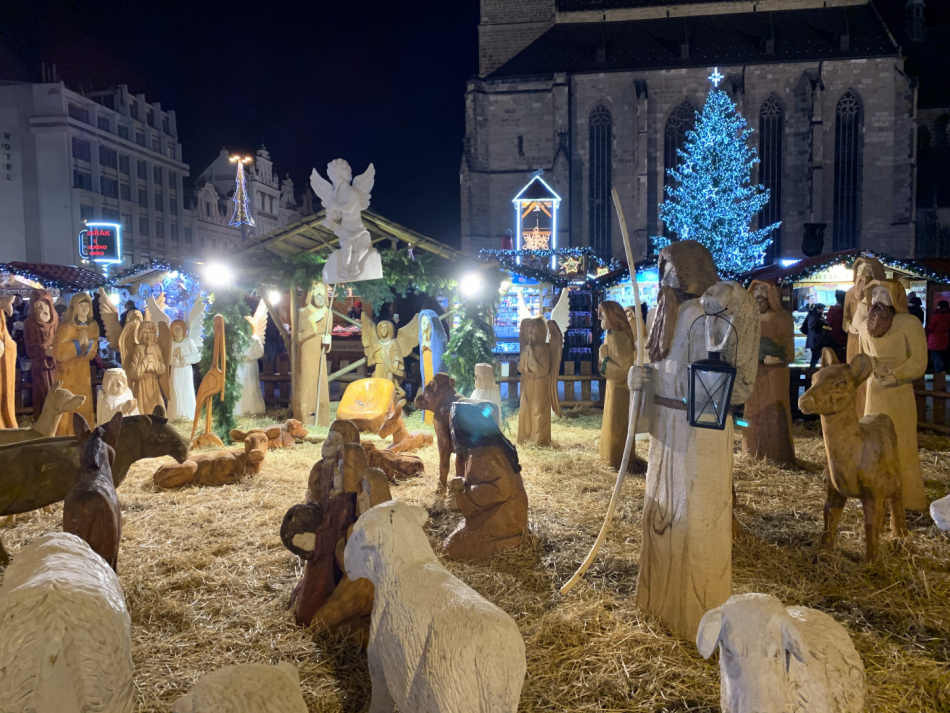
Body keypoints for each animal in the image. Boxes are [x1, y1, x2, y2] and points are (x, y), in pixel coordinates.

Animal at [346, 498, 532, 708]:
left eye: (357, 535)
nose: (345, 561)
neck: (411, 562)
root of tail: (491, 658)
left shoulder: (378, 662)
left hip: (448, 697)